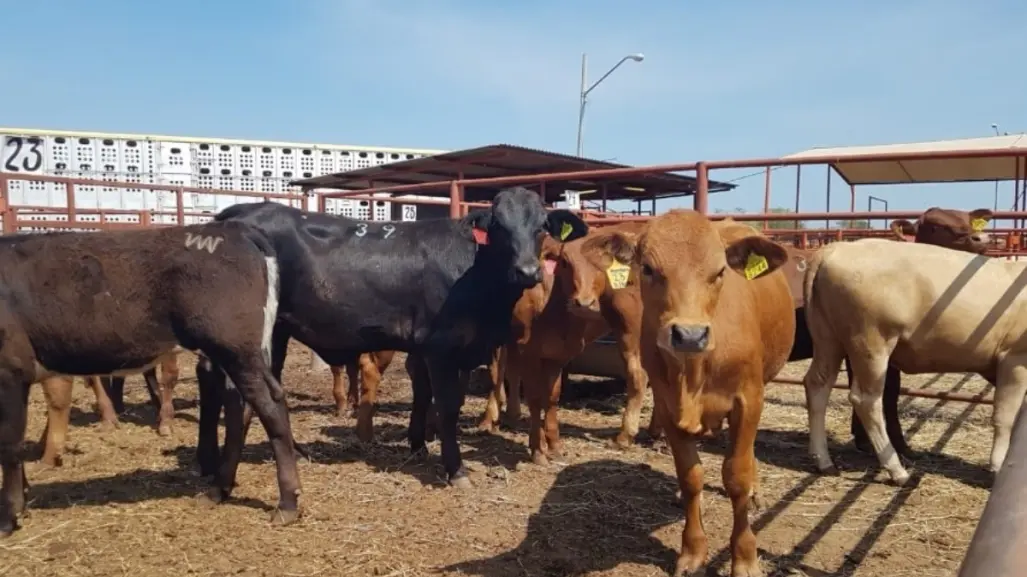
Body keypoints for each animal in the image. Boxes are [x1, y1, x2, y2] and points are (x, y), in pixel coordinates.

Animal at [0, 220, 299, 533]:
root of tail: (233, 229)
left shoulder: (10, 370)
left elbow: (8, 444)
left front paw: (9, 515)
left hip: (236, 350)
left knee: (271, 409)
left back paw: (287, 504)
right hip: (229, 355)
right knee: (238, 411)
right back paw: (218, 490)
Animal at [207, 186, 587, 486]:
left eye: (541, 227)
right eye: (499, 226)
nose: (527, 271)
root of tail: (238, 212)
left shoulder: (437, 349)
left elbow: (423, 394)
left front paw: (418, 445)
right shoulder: (441, 347)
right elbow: (447, 406)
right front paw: (455, 470)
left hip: (276, 332)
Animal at [587, 210, 792, 574]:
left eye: (720, 271)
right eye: (648, 269)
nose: (690, 335)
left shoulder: (749, 400)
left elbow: (736, 476)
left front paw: (745, 556)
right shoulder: (669, 407)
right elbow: (690, 475)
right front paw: (693, 550)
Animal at [805, 236, 1022, 482]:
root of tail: (837, 247)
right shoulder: (1014, 358)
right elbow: (1006, 416)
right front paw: (998, 465)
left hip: (827, 338)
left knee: (818, 385)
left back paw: (824, 461)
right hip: (872, 342)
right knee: (866, 400)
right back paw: (897, 470)